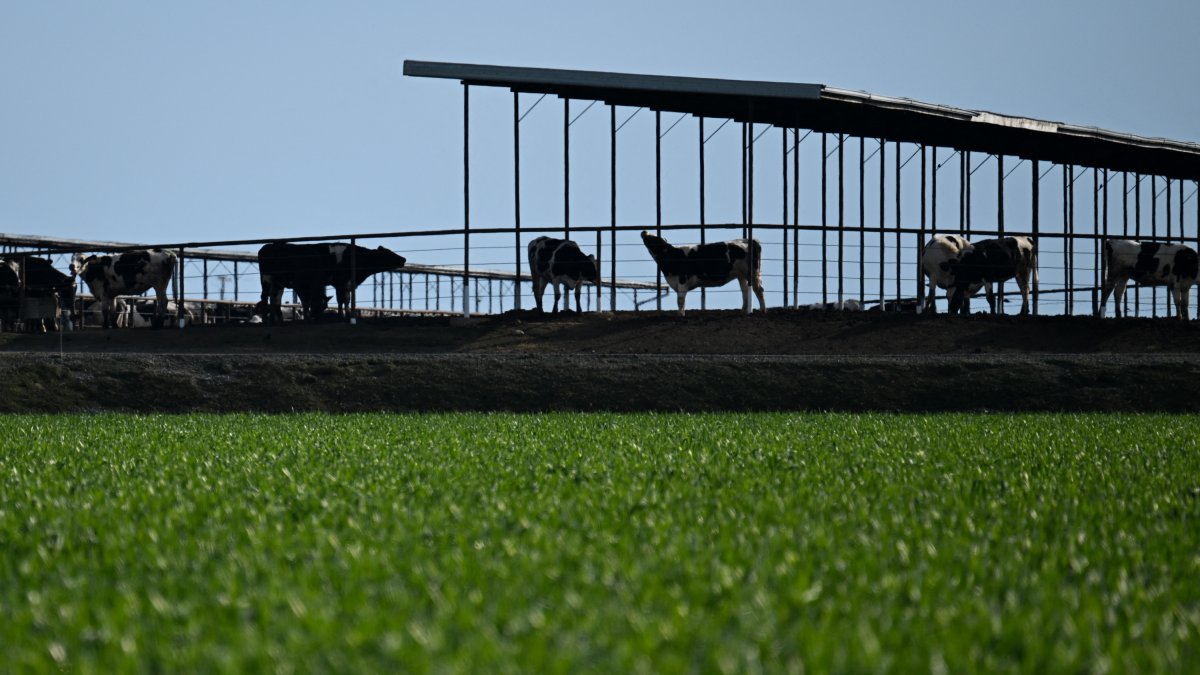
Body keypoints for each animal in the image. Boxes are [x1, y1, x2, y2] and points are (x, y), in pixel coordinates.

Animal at [257, 243, 406, 323]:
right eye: (388, 253)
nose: (404, 259)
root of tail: (268, 246)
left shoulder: (345, 284)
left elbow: (345, 300)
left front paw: (345, 315)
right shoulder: (339, 282)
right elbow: (340, 299)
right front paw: (342, 317)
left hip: (278, 282)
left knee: (274, 299)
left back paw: (277, 320)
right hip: (266, 279)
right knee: (265, 298)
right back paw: (265, 320)